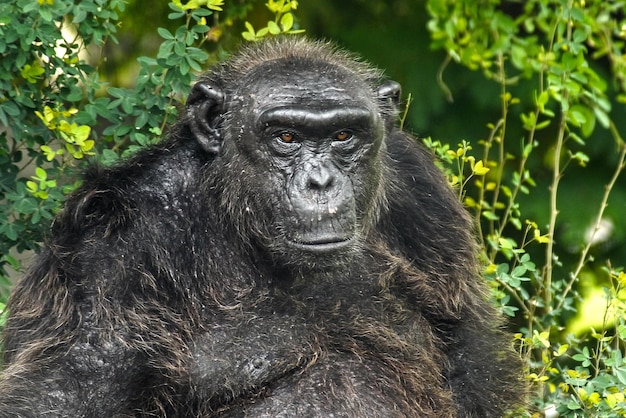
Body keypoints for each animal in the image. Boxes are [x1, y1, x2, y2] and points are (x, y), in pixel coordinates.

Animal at [0, 37, 524, 416]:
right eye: (286, 137)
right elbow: (69, 390)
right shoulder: (107, 255)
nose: (320, 180)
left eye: (343, 135)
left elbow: (464, 355)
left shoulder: (424, 197)